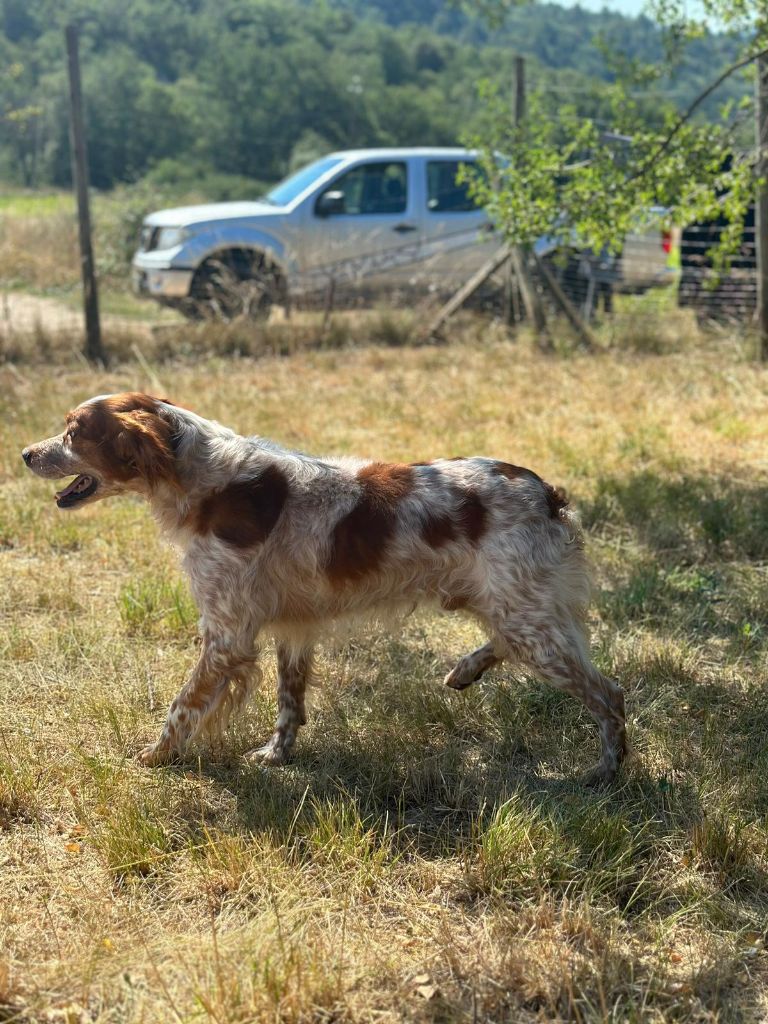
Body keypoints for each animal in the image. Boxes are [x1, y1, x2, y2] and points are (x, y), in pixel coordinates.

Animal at [20, 391, 626, 782]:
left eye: (74, 432)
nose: (25, 453)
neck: (206, 480)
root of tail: (546, 491)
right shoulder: (294, 625)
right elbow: (290, 703)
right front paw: (276, 756)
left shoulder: (226, 635)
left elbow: (183, 706)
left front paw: (154, 757)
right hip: (509, 609)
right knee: (513, 644)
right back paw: (464, 670)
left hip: (527, 621)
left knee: (609, 694)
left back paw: (604, 771)